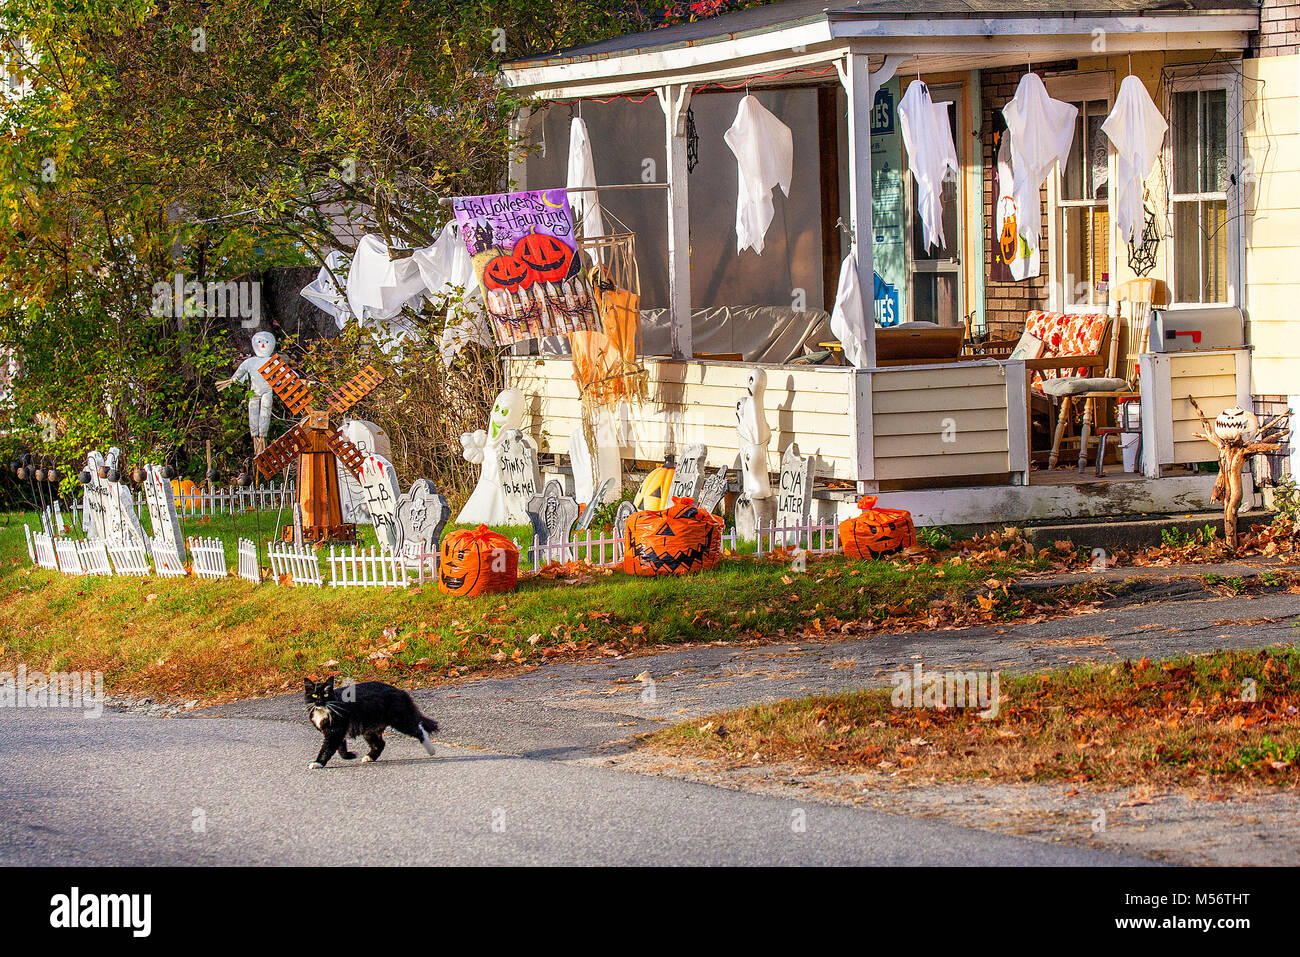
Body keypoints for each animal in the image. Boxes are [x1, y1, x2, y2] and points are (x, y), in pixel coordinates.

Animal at [300, 670, 439, 769]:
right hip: (369, 729)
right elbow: (340, 748)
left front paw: (318, 763)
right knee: (380, 743)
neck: (323, 710)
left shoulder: (335, 731)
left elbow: (327, 749)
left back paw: (431, 750)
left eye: (326, 694)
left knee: (419, 729)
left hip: (399, 719)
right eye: (314, 695)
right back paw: (369, 757)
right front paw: (350, 755)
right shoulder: (336, 732)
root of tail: (400, 691)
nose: (319, 701)